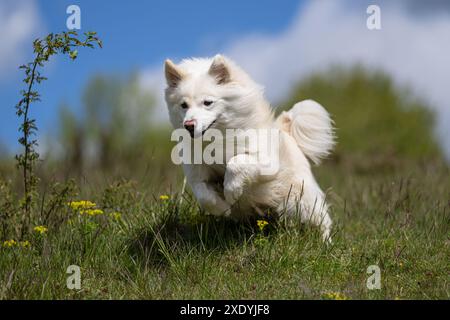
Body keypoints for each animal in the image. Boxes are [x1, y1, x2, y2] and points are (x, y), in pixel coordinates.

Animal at [164, 55, 334, 241]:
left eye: (208, 102)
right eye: (183, 105)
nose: (188, 125)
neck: (217, 139)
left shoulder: (266, 162)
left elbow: (236, 162)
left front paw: (232, 191)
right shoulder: (197, 175)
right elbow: (204, 196)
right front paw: (223, 208)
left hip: (300, 200)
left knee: (322, 221)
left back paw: (325, 243)